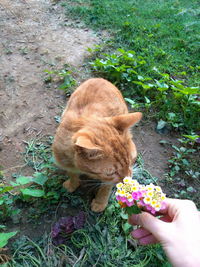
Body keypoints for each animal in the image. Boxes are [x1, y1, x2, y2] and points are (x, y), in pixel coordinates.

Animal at [52, 78, 141, 214]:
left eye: (132, 161)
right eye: (112, 172)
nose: (128, 180)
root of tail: (99, 78)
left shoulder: (108, 182)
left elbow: (105, 189)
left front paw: (100, 203)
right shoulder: (65, 161)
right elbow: (72, 174)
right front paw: (72, 184)